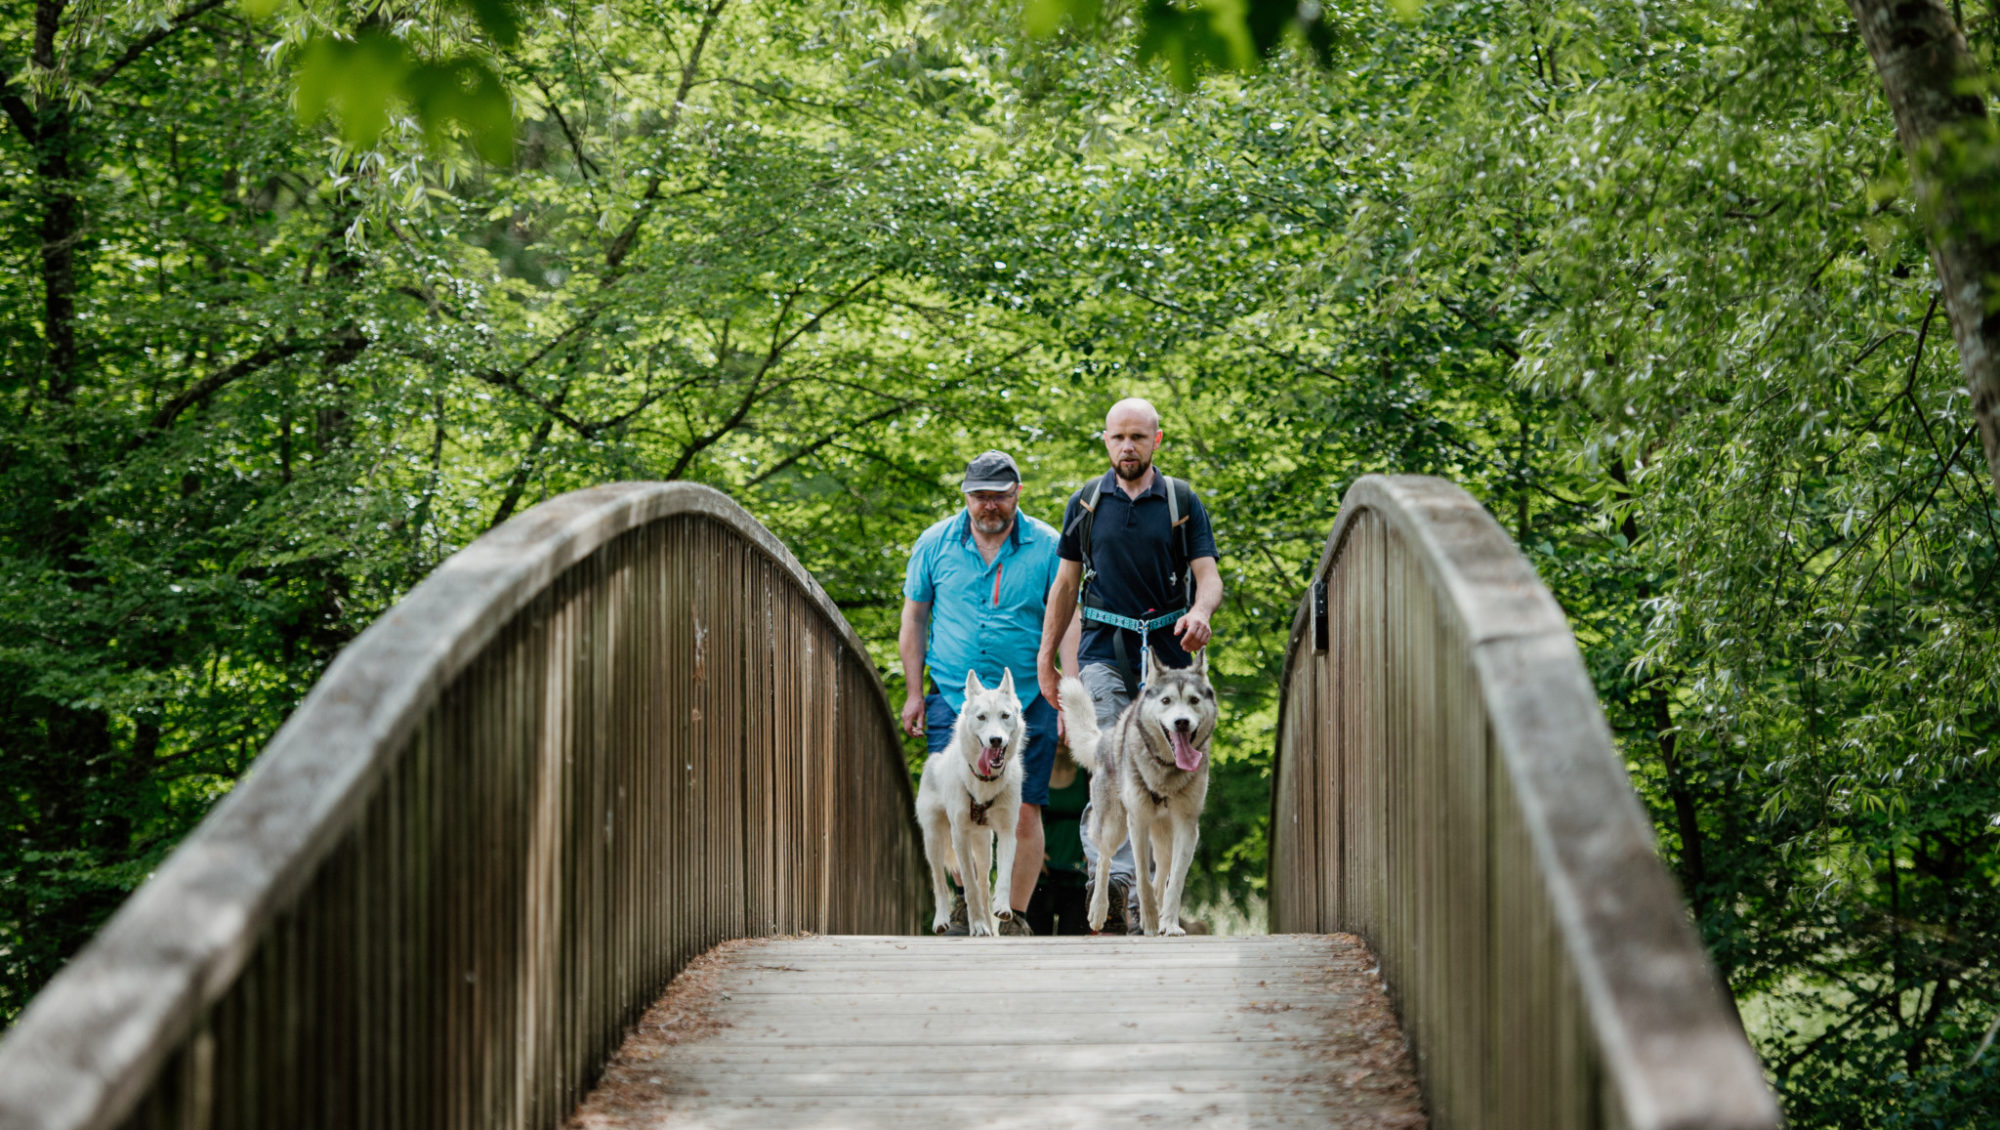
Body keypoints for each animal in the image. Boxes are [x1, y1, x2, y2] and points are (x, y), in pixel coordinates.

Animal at [916, 668, 1024, 936]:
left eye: (1005, 716)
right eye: (982, 717)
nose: (995, 740)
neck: (984, 781)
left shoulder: (1007, 832)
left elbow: (1003, 877)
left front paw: (1001, 909)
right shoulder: (959, 836)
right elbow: (968, 886)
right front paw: (977, 925)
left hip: (984, 846)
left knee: (984, 882)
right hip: (934, 840)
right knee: (940, 883)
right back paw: (942, 921)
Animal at [1072, 648, 1208, 940]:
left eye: (1194, 700)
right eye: (1166, 700)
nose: (1182, 722)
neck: (1167, 770)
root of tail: (1106, 739)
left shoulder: (1187, 825)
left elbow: (1175, 879)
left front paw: (1169, 923)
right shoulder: (1137, 820)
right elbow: (1142, 875)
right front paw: (1149, 918)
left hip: (1164, 835)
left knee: (1163, 870)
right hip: (1113, 825)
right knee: (1104, 858)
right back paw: (1100, 910)